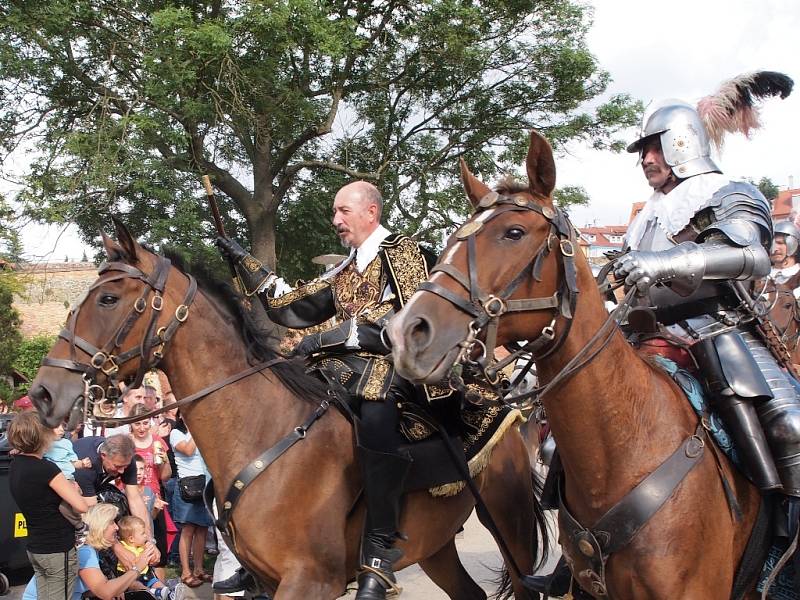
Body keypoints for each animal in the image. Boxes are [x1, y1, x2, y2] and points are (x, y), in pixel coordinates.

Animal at [28, 221, 548, 600]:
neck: (259, 430)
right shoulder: (268, 579)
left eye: (108, 298)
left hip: (511, 527)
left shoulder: (309, 581)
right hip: (436, 544)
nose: (45, 393)